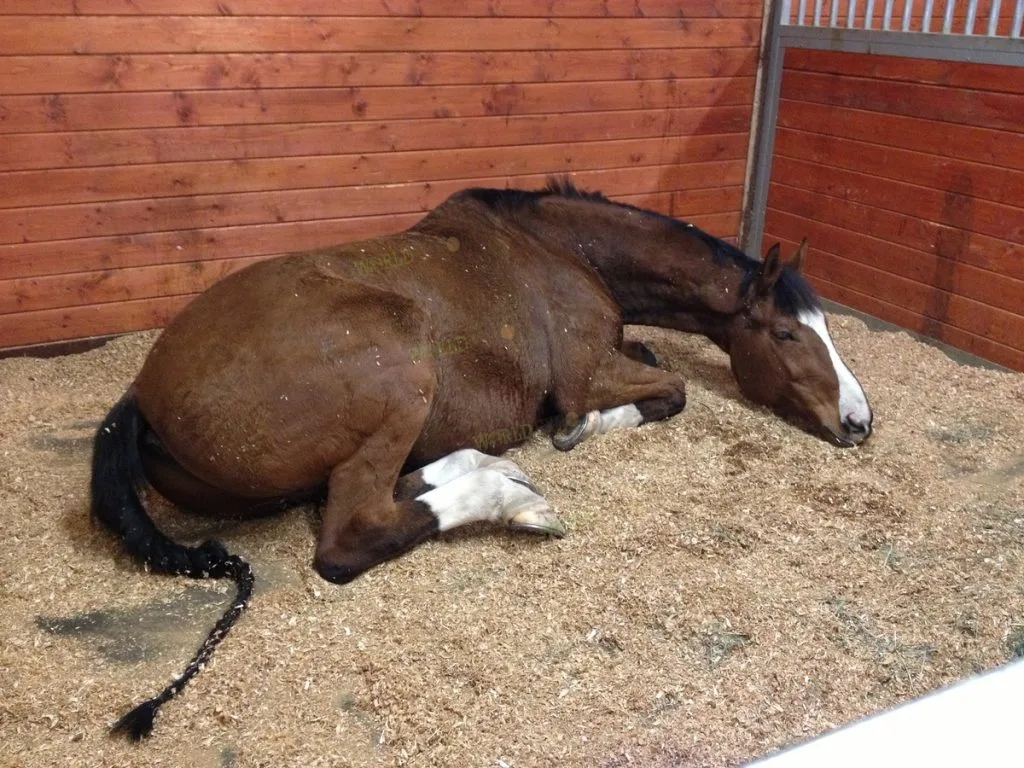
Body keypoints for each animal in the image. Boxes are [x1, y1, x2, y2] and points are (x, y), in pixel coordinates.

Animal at [89, 177, 872, 739]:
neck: (564, 251)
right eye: (785, 334)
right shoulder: (589, 374)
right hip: (399, 365)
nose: (860, 422)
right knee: (354, 533)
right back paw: (517, 499)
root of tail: (142, 397)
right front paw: (579, 429)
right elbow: (669, 390)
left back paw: (489, 468)